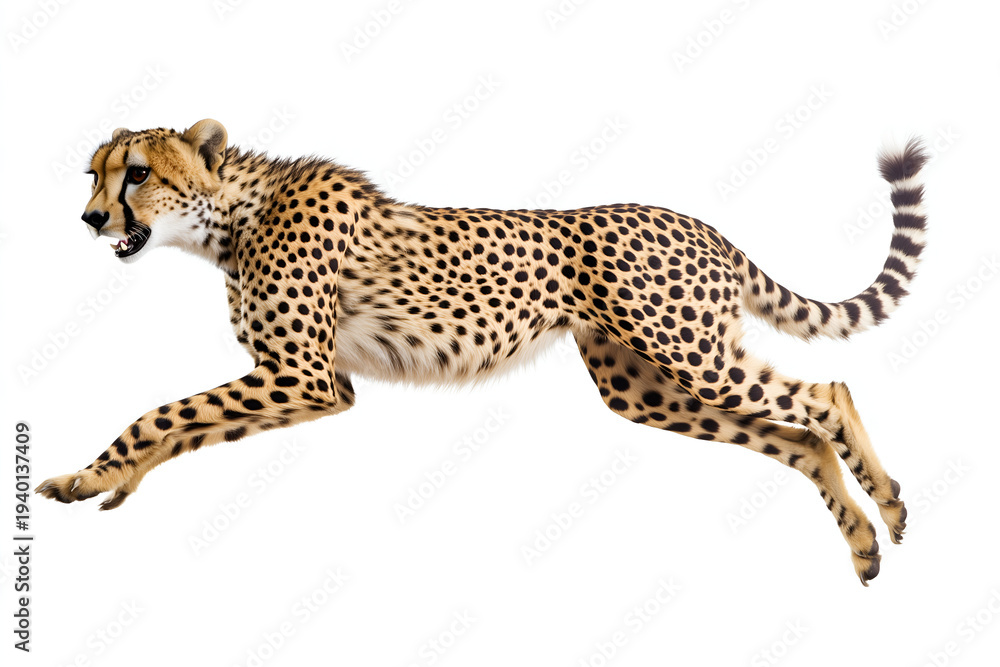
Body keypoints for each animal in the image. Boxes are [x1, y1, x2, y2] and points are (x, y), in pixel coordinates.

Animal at [37, 119, 927, 585]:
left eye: (137, 173)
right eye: (94, 174)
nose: (89, 219)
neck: (231, 216)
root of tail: (700, 224)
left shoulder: (305, 376)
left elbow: (163, 414)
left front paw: (90, 474)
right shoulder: (305, 380)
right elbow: (187, 426)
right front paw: (108, 484)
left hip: (688, 354)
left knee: (827, 396)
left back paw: (888, 504)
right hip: (644, 385)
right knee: (799, 438)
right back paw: (861, 541)